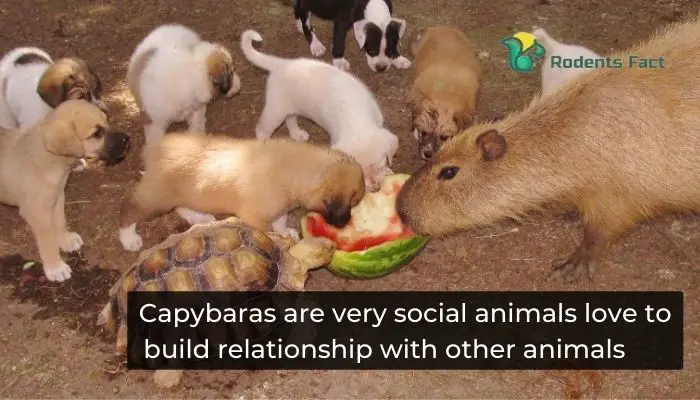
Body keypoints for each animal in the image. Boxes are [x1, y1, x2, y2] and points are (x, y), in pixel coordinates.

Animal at [0, 99, 131, 282]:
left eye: (107, 121)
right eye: (96, 133)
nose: (127, 139)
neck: (51, 160)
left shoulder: (57, 197)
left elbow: (60, 220)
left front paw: (65, 239)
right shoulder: (37, 213)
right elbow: (47, 241)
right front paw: (55, 267)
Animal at [118, 134, 366, 253]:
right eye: (352, 203)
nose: (345, 224)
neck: (295, 170)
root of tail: (154, 150)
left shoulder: (278, 209)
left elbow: (280, 221)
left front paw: (287, 232)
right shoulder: (255, 217)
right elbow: (269, 231)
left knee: (182, 206)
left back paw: (201, 217)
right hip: (156, 196)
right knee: (129, 210)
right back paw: (129, 239)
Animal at [241, 29, 396, 192]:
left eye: (380, 165)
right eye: (360, 171)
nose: (375, 189)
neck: (357, 120)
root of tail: (282, 64)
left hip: (289, 106)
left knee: (290, 119)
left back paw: (297, 134)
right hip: (275, 110)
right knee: (261, 130)